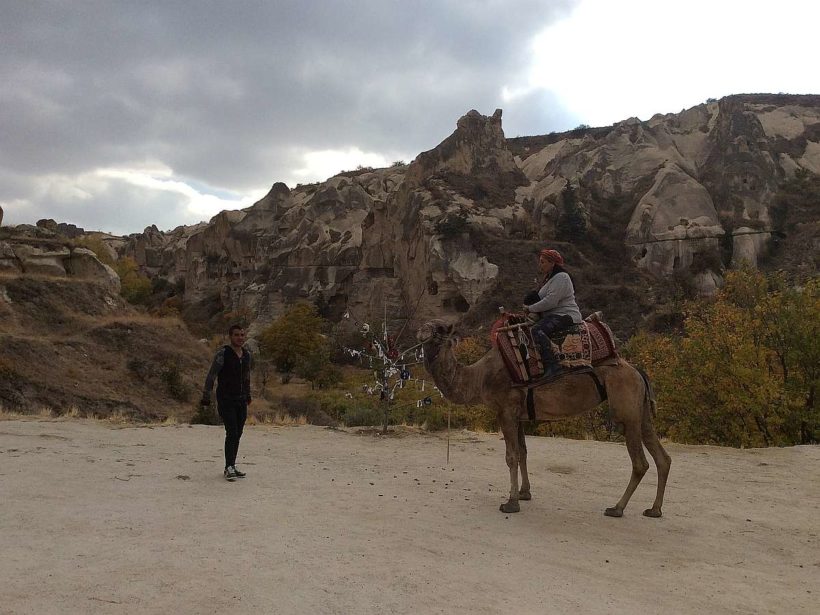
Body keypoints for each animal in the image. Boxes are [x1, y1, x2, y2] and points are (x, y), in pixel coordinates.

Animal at [420, 320, 668, 516]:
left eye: (439, 332)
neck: (480, 378)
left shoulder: (506, 411)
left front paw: (511, 503)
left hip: (626, 408)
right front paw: (524, 493)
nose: (421, 332)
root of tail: (637, 371)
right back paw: (654, 509)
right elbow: (522, 453)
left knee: (640, 462)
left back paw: (617, 508)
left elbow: (511, 456)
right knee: (662, 457)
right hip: (641, 410)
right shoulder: (518, 415)